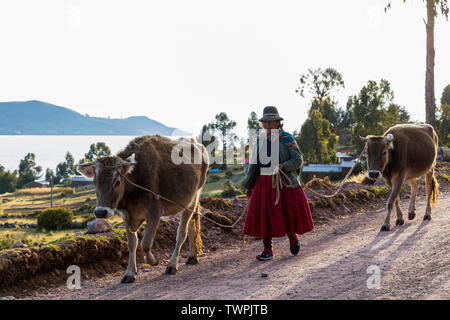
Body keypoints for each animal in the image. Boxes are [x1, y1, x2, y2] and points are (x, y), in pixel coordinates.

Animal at [77, 135, 209, 282]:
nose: (101, 212)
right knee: (191, 224)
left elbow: (145, 243)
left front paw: (153, 261)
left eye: (117, 182)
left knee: (181, 232)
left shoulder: (155, 212)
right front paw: (130, 273)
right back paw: (192, 257)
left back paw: (172, 265)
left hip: (192, 198)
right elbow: (132, 243)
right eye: (95, 182)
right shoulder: (126, 216)